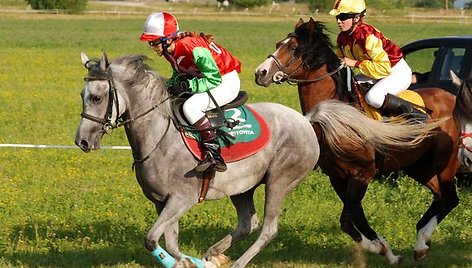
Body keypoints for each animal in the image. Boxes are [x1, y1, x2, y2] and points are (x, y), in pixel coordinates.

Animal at [75, 51, 318, 266]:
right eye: (81, 95)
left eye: (97, 97)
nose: (82, 141)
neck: (159, 136)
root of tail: (305, 120)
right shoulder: (162, 202)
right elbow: (170, 243)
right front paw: (191, 261)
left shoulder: (182, 199)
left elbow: (151, 239)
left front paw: (192, 262)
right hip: (242, 187)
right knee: (248, 223)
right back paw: (214, 254)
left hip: (279, 182)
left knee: (268, 230)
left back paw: (236, 262)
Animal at [254, 18, 460, 264]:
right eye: (279, 44)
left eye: (294, 48)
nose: (260, 72)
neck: (336, 118)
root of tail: (451, 96)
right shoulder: (338, 177)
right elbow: (357, 218)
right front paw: (387, 252)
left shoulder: (362, 174)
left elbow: (347, 220)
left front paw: (377, 248)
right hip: (418, 166)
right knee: (441, 196)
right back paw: (421, 243)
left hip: (444, 162)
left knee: (450, 198)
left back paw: (421, 241)